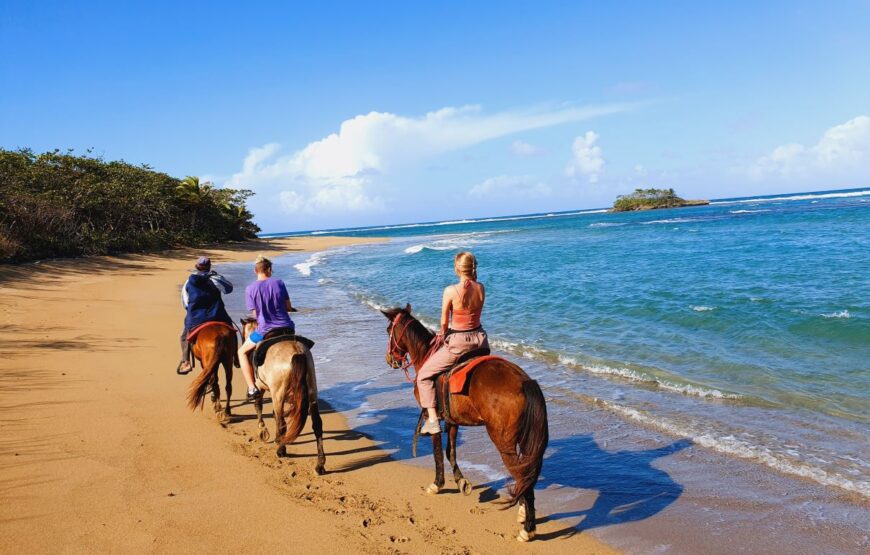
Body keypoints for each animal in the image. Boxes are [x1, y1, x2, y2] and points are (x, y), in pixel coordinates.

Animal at [240, 318, 326, 474]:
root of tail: (296, 351)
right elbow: (275, 414)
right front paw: (274, 437)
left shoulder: (261, 388)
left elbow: (259, 406)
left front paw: (263, 431)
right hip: (312, 390)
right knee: (317, 425)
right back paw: (320, 464)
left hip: (278, 394)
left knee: (281, 424)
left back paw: (281, 450)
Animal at [380, 306, 548, 540]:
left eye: (389, 330)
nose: (389, 358)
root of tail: (525, 381)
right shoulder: (453, 420)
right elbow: (450, 451)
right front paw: (460, 480)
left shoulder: (432, 416)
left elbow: (437, 452)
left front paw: (437, 484)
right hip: (522, 441)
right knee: (525, 475)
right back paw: (524, 513)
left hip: (503, 442)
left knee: (522, 474)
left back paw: (528, 529)